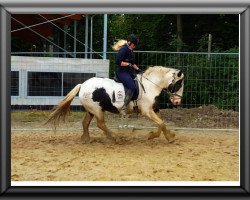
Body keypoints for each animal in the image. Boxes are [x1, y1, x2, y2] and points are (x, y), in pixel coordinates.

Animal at [46, 66, 184, 144]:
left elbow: (161, 124)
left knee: (85, 123)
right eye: (179, 83)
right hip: (97, 110)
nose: (177, 102)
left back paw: (86, 139)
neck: (150, 85)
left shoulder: (154, 109)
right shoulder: (147, 111)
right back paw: (115, 138)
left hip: (91, 110)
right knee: (100, 124)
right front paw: (170, 138)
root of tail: (82, 85)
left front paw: (155, 135)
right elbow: (161, 123)